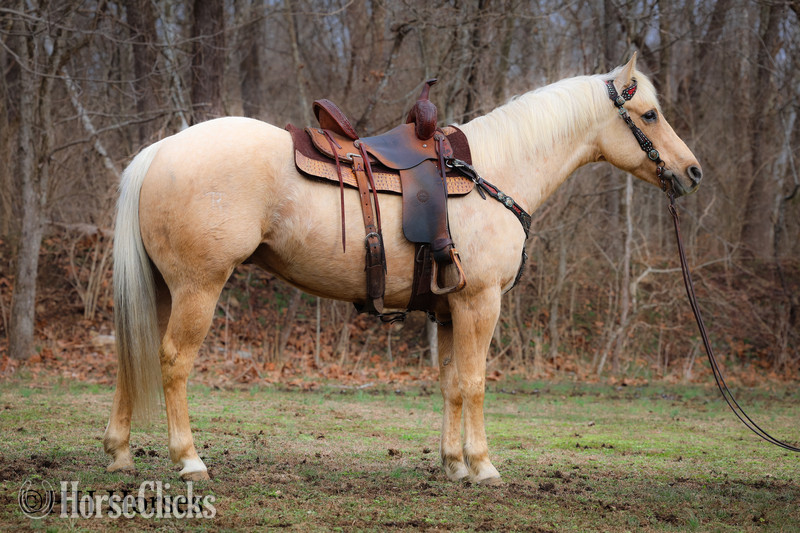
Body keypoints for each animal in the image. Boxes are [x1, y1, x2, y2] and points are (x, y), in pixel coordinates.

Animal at [104, 54, 702, 485]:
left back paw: (119, 452)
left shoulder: (449, 309)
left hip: (162, 289)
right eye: (650, 115)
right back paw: (189, 459)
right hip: (198, 288)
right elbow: (476, 382)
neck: (492, 173)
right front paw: (483, 466)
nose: (691, 172)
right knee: (173, 360)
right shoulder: (480, 302)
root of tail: (161, 150)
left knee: (134, 355)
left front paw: (453, 464)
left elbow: (452, 384)